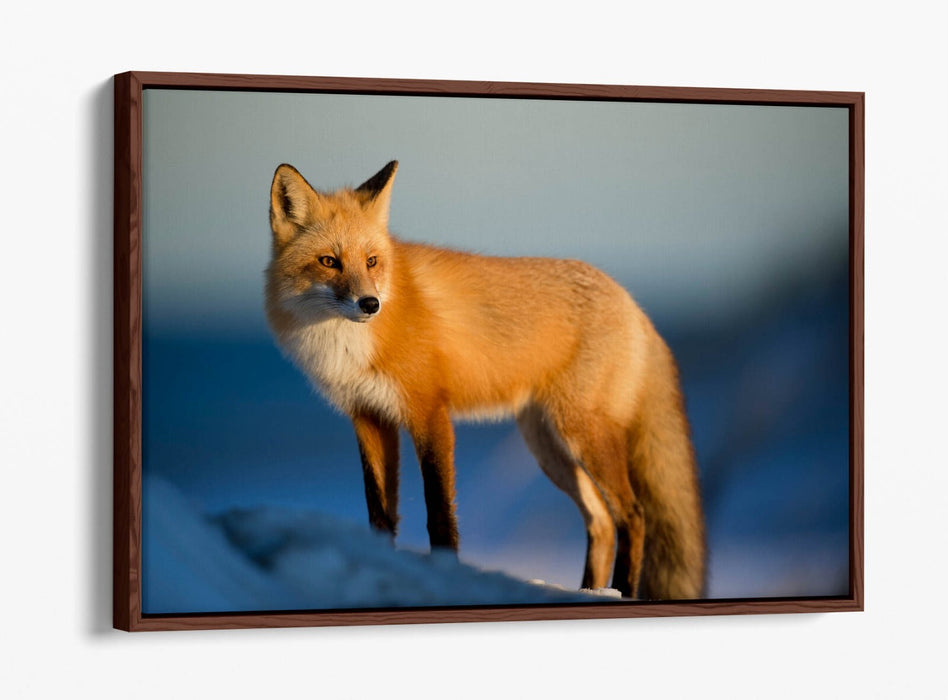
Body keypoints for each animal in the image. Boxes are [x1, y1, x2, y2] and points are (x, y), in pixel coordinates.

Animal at [265, 160, 706, 600]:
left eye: (372, 261)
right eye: (329, 261)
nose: (370, 304)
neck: (349, 345)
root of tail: (633, 304)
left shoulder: (430, 413)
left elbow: (440, 514)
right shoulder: (369, 417)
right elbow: (380, 514)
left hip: (583, 434)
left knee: (632, 515)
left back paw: (622, 592)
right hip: (549, 448)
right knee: (600, 521)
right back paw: (589, 591)